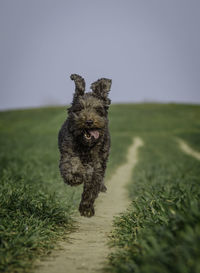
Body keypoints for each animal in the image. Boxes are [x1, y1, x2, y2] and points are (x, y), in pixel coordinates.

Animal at [57, 73, 111, 216]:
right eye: (80, 109)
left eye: (97, 109)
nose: (89, 121)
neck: (86, 145)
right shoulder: (68, 153)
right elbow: (73, 164)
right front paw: (76, 177)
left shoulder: (97, 166)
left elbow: (92, 187)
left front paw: (86, 208)